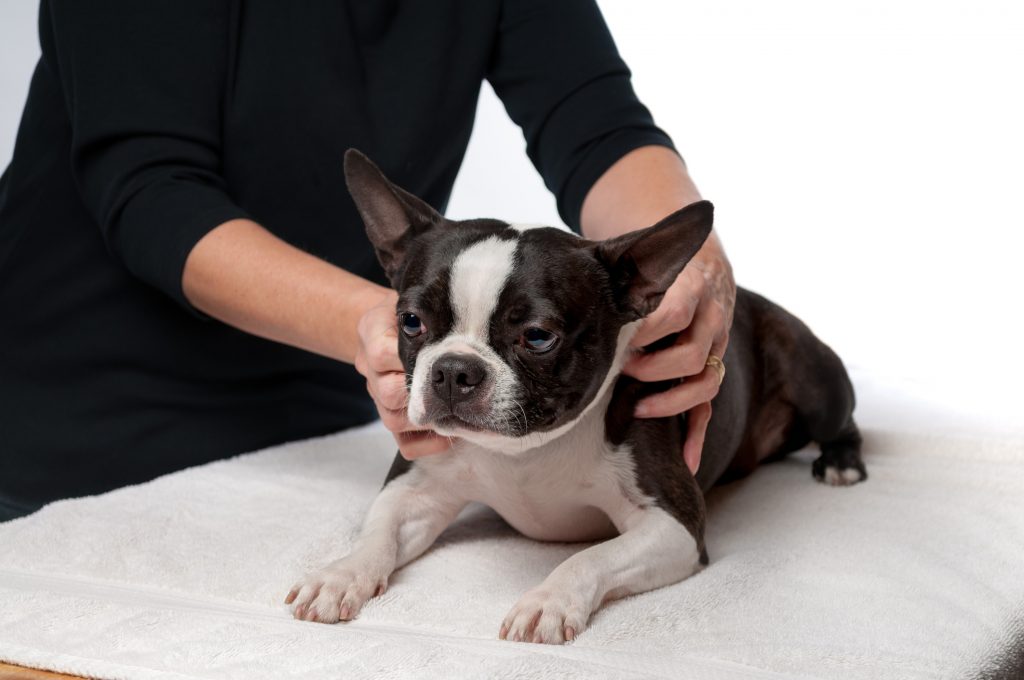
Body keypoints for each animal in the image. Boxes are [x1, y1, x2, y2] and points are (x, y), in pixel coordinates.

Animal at [286, 148, 864, 643]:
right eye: (410, 322)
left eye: (539, 336)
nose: (453, 370)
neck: (523, 452)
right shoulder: (416, 486)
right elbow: (376, 532)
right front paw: (341, 574)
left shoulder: (672, 525)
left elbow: (590, 557)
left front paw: (548, 600)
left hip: (810, 373)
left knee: (843, 419)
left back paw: (841, 463)